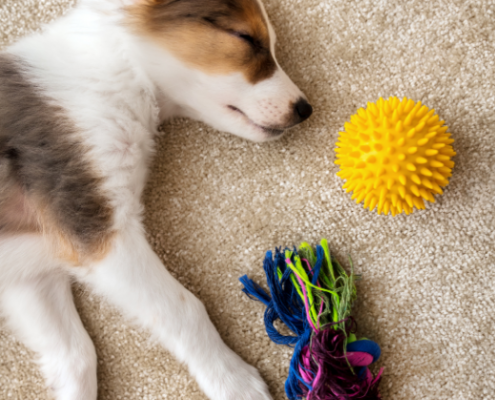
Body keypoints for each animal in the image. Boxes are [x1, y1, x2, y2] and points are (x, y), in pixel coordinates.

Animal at [0, 0, 312, 398]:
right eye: (244, 37)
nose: (305, 109)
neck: (114, 72)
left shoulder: (30, 271)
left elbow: (74, 354)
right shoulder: (98, 229)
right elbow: (184, 309)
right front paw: (233, 381)